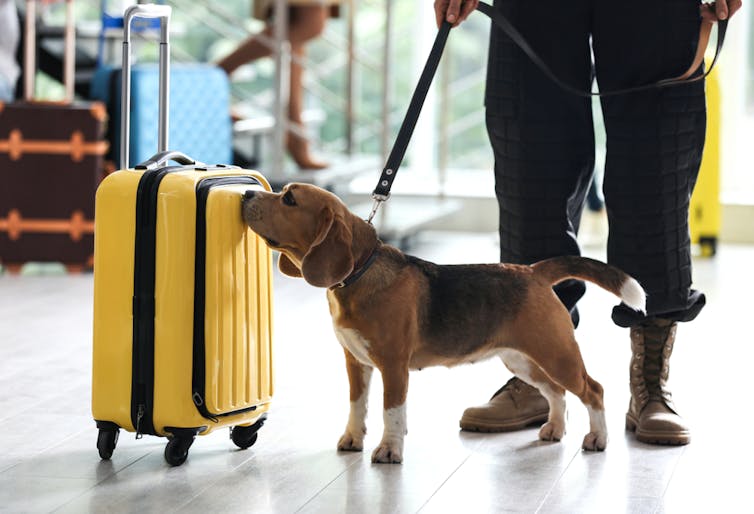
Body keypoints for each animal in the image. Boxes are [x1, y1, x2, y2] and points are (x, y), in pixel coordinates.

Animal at [241, 183, 640, 460]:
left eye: (289, 199)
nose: (246, 193)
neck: (360, 274)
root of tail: (533, 271)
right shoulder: (355, 363)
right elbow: (357, 405)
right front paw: (353, 439)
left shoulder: (393, 366)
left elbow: (391, 412)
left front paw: (389, 450)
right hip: (523, 360)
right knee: (556, 392)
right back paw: (555, 428)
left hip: (557, 354)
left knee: (593, 390)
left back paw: (598, 438)